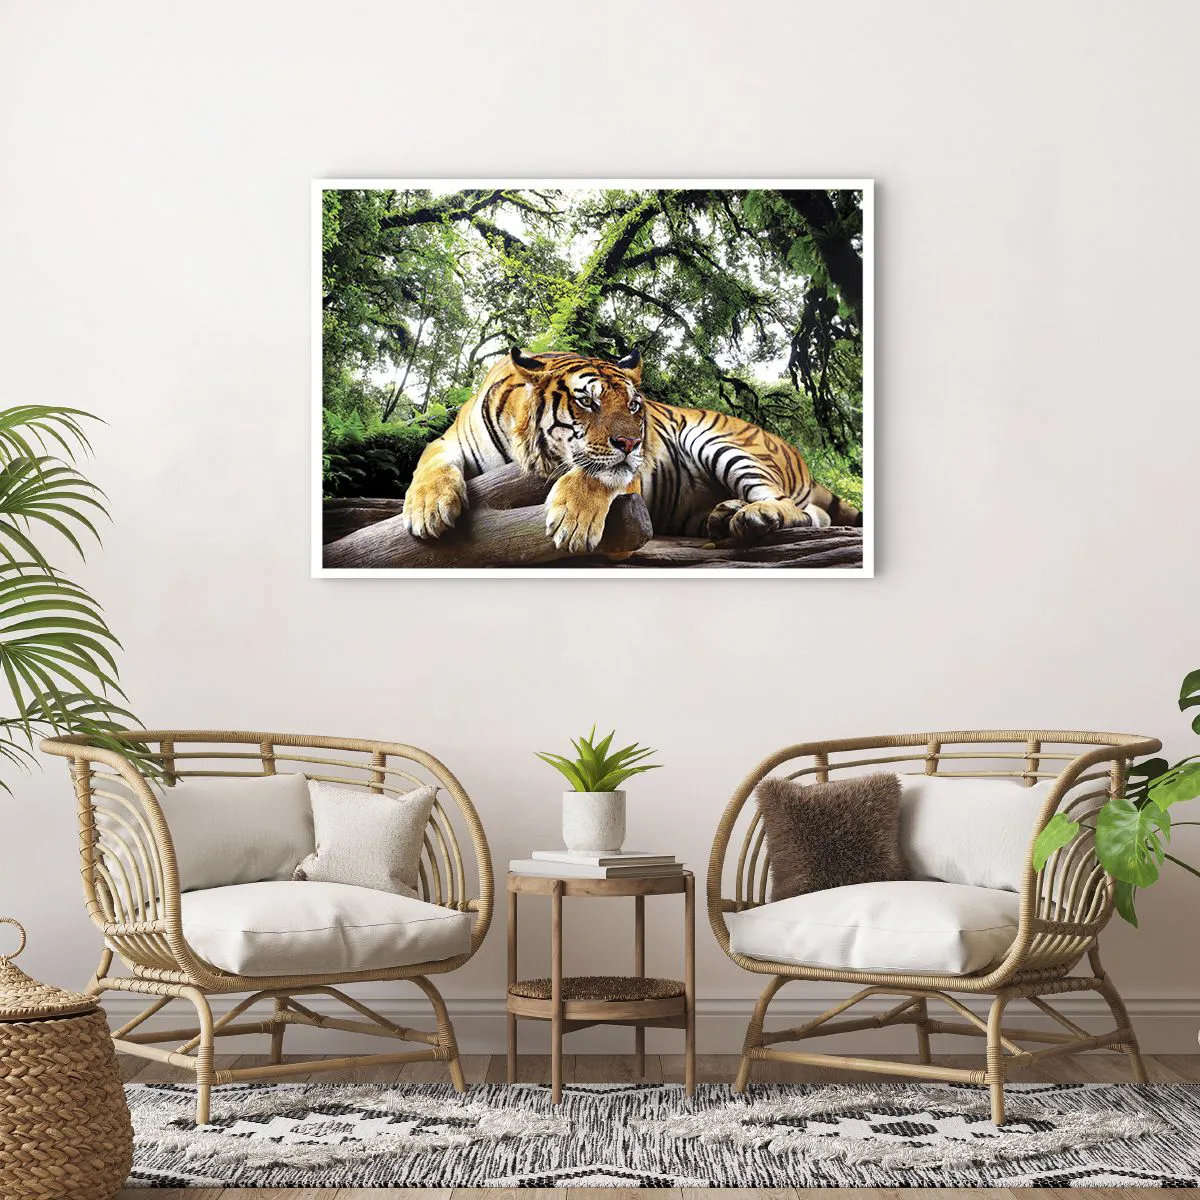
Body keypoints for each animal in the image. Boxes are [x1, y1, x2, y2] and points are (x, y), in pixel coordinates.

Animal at [402, 348, 861, 554]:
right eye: (587, 401)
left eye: (635, 406)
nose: (632, 442)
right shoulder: (449, 441)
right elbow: (429, 462)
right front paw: (428, 508)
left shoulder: (626, 470)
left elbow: (597, 473)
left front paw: (573, 521)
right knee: (814, 514)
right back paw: (725, 514)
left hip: (721, 443)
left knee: (794, 508)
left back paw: (754, 516)